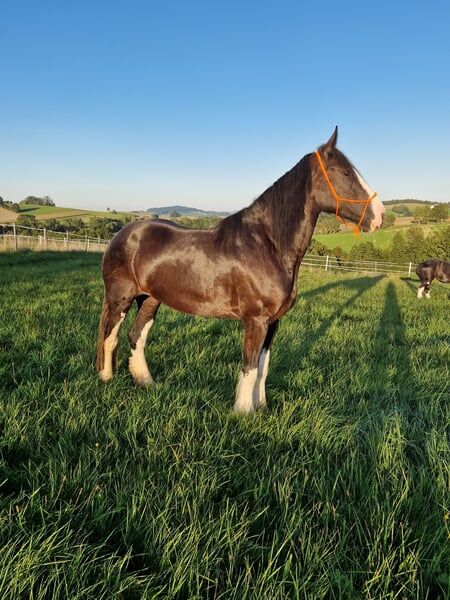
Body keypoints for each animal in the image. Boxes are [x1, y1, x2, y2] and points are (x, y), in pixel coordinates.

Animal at [95, 127, 384, 412]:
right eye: (345, 172)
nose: (380, 216)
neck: (267, 244)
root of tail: (123, 234)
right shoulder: (255, 320)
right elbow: (249, 367)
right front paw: (243, 413)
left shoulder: (273, 322)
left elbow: (263, 367)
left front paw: (262, 408)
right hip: (120, 298)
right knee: (110, 336)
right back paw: (106, 379)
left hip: (150, 300)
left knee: (136, 336)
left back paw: (146, 383)